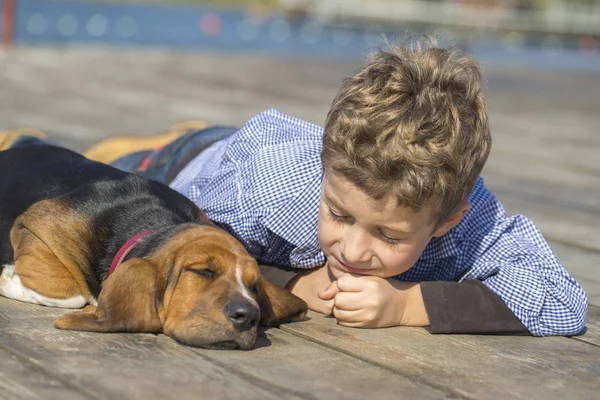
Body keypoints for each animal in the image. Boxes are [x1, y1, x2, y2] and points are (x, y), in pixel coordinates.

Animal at [0, 145, 308, 350]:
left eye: (254, 286)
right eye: (203, 272)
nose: (249, 316)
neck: (149, 225)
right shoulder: (36, 223)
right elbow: (70, 293)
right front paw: (7, 280)